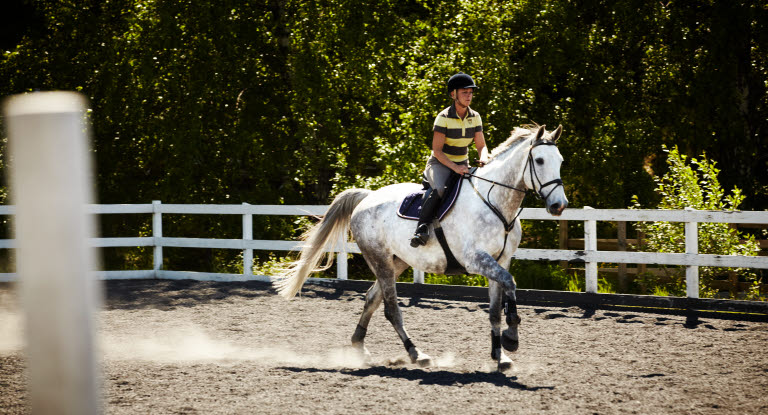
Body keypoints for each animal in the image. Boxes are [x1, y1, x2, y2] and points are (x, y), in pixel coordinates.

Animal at [272, 125, 568, 372]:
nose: (559, 205)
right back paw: (417, 354)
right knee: (391, 309)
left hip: (397, 261)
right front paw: (511, 338)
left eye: (561, 161)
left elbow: (496, 308)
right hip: (380, 259)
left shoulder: (501, 260)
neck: (494, 202)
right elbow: (511, 284)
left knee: (371, 298)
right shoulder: (476, 260)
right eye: (539, 160)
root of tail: (368, 197)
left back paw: (359, 347)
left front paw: (501, 356)